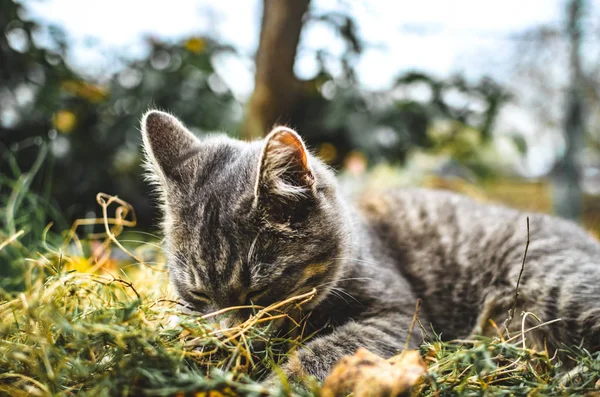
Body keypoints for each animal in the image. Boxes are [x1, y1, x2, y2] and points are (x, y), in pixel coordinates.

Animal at [142, 110, 600, 382]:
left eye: (259, 292)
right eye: (198, 294)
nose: (231, 336)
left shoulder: (400, 315)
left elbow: (326, 352)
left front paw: (276, 382)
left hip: (554, 284)